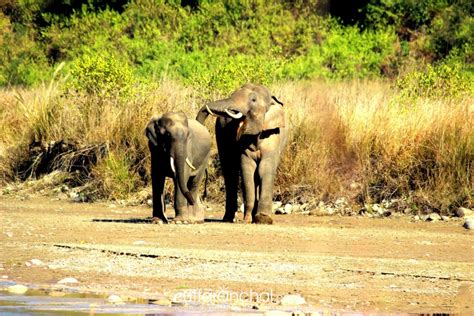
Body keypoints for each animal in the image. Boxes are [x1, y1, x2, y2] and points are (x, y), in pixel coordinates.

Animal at [195, 82, 286, 223]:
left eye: (253, 100)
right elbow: (247, 169)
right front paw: (248, 220)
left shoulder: (273, 135)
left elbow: (264, 168)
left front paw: (263, 219)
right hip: (221, 135)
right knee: (230, 172)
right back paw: (228, 219)